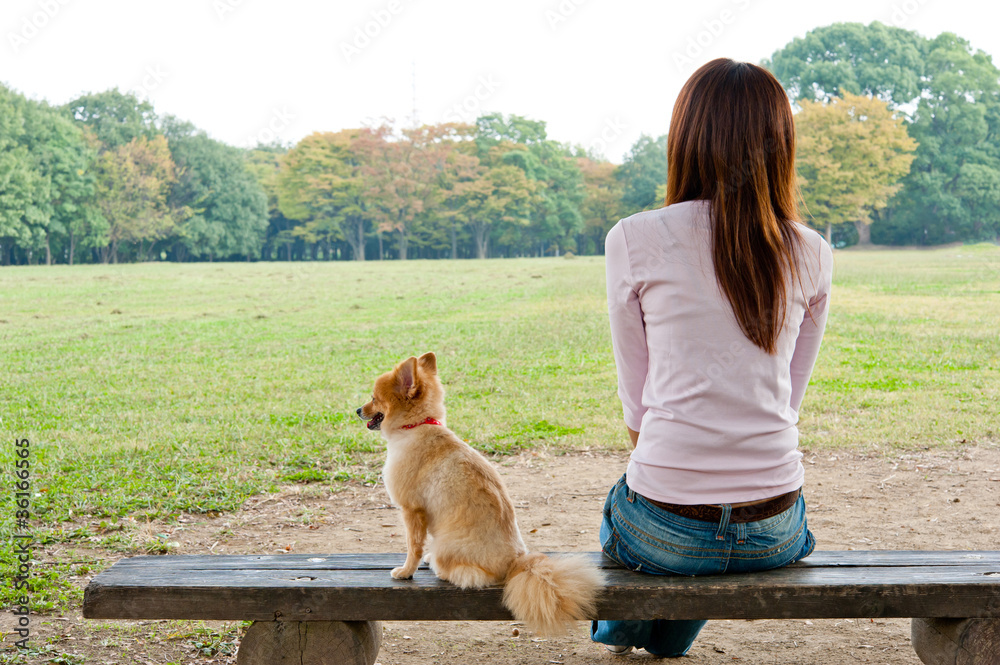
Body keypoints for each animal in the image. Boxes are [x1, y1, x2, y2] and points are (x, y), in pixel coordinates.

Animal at [360, 350, 600, 636]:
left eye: (374, 398)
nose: (357, 410)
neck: (417, 426)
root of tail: (516, 563)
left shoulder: (412, 510)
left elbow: (413, 547)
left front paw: (406, 571)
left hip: (444, 547)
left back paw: (438, 567)